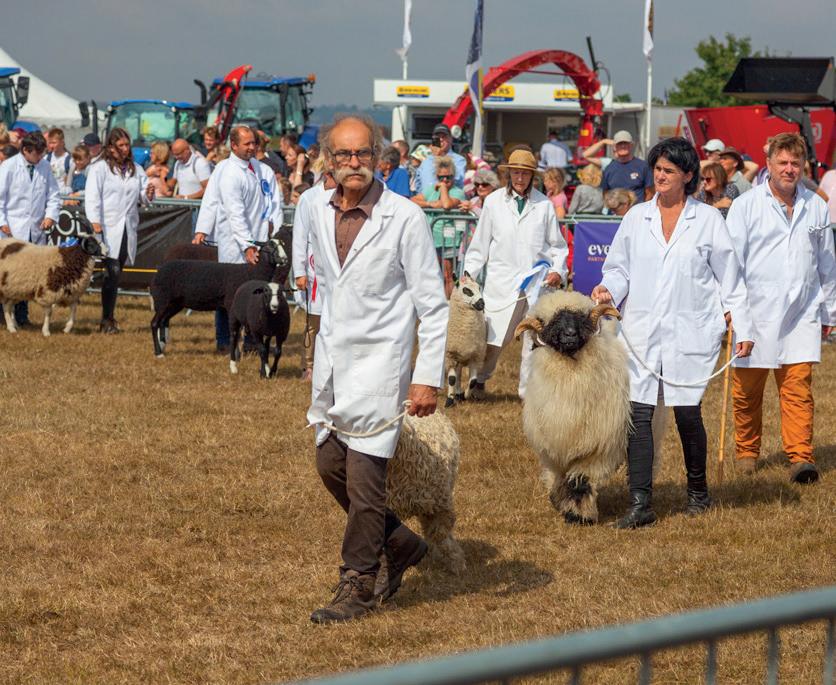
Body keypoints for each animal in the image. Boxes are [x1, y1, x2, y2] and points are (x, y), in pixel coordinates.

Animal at [150, 238, 288, 357]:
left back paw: (162, 347)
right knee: (155, 323)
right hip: (163, 300)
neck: (251, 272)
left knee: (163, 321)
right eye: (270, 246)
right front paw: (235, 355)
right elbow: (235, 331)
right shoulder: (231, 304)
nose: (284, 259)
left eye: (282, 244)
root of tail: (160, 269)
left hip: (175, 303)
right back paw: (158, 353)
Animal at [444, 274, 487, 408]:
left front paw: (465, 395)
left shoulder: (476, 357)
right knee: (455, 376)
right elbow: (451, 379)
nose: (482, 304)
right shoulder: (450, 356)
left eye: (479, 287)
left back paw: (458, 394)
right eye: (466, 290)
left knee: (459, 373)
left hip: (462, 358)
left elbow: (473, 381)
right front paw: (449, 400)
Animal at [514, 290, 629, 525]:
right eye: (549, 323)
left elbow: (580, 481)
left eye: (581, 318)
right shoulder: (554, 450)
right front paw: (559, 501)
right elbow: (559, 479)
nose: (569, 334)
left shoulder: (597, 450)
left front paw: (579, 515)